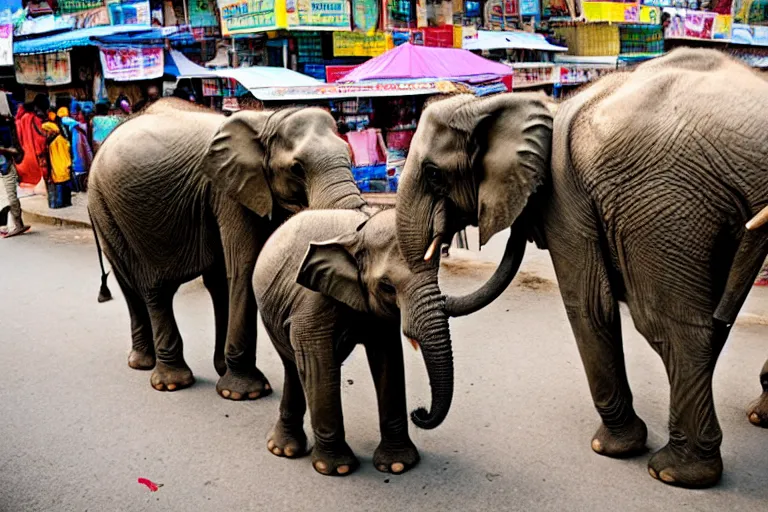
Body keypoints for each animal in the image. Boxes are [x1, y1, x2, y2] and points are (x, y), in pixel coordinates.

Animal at [89, 98, 366, 398]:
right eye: (296, 168)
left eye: (349, 156)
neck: (268, 119)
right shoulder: (227, 191)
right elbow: (245, 268)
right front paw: (246, 393)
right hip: (110, 210)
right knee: (153, 286)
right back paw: (171, 381)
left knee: (153, 286)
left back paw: (147, 363)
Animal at [255, 208, 452, 476]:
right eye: (388, 287)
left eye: (437, 272)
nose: (419, 412)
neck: (358, 237)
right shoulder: (314, 300)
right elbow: (317, 362)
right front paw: (336, 468)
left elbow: (388, 357)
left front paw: (398, 465)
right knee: (293, 365)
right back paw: (283, 451)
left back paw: (283, 449)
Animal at [392, 48, 768, 488]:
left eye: (434, 174)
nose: (418, 413)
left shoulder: (566, 198)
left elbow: (589, 305)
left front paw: (610, 448)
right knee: (708, 321)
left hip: (662, 198)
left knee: (667, 326)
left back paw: (675, 473)